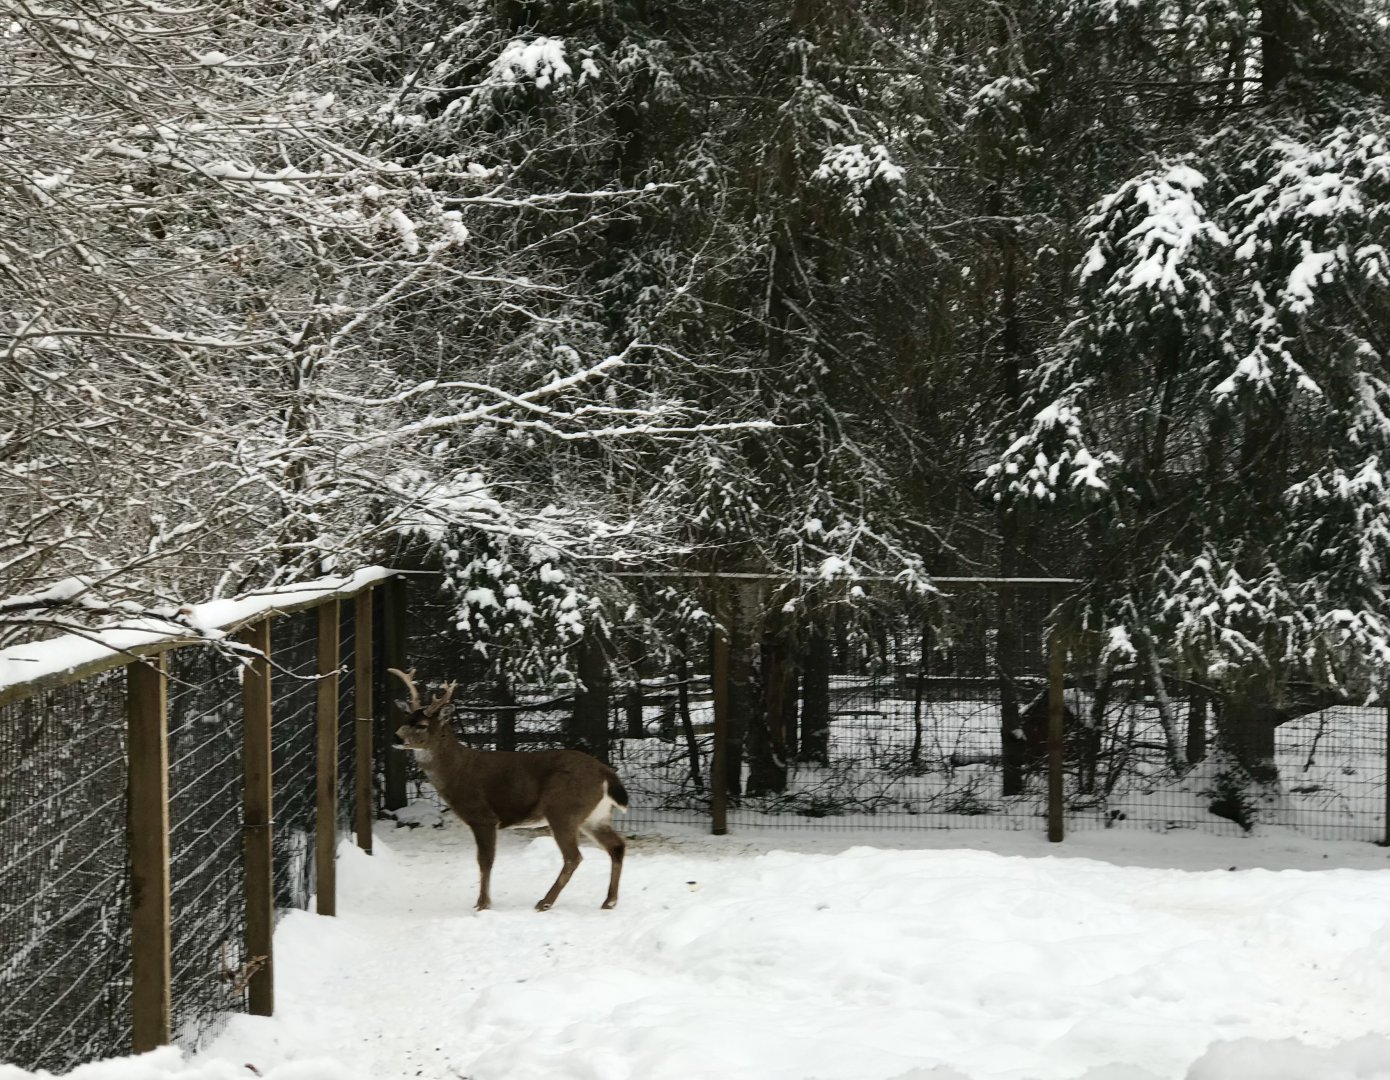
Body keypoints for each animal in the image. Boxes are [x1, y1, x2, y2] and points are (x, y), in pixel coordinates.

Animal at [388, 667, 628, 911]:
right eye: (406, 718)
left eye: (421, 725)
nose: (395, 736)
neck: (457, 771)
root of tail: (605, 772)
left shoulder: (483, 816)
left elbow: (485, 861)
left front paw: (482, 904)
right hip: (595, 815)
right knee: (616, 846)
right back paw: (609, 901)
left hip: (563, 809)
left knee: (574, 856)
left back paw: (545, 902)